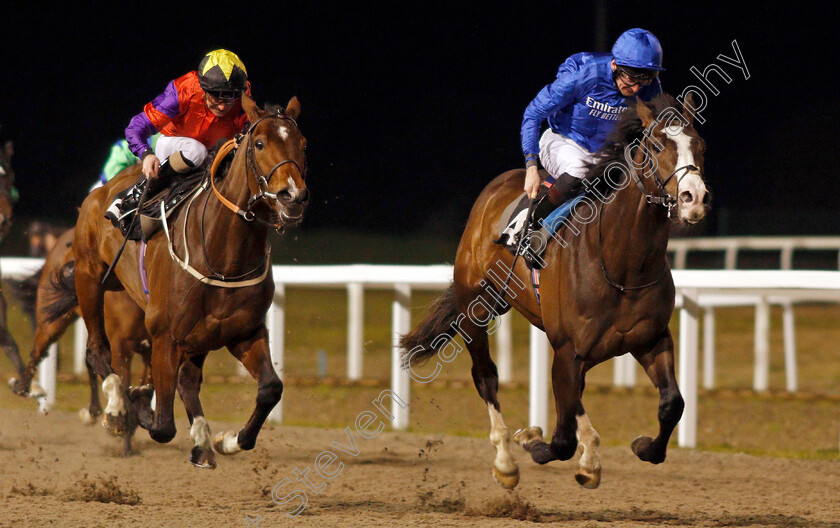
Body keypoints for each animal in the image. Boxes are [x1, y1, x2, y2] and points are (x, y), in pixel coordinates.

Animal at [8, 229, 152, 456]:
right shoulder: (121, 348)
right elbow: (122, 383)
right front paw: (123, 433)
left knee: (88, 360)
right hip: (54, 319)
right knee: (41, 348)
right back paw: (23, 386)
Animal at [60, 95, 308, 466]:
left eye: (302, 143)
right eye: (260, 143)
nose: (292, 196)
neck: (223, 254)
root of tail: (101, 191)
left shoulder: (243, 332)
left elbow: (270, 389)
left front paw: (227, 440)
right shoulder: (165, 335)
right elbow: (162, 424)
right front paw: (135, 403)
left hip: (200, 334)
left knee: (189, 381)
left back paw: (203, 441)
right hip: (90, 278)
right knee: (97, 351)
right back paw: (116, 409)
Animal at [404, 95, 704, 490]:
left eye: (700, 145)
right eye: (657, 146)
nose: (694, 198)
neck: (622, 265)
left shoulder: (649, 339)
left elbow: (672, 405)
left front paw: (641, 446)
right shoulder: (566, 350)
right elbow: (560, 440)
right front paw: (530, 441)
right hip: (477, 307)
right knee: (486, 377)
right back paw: (506, 461)